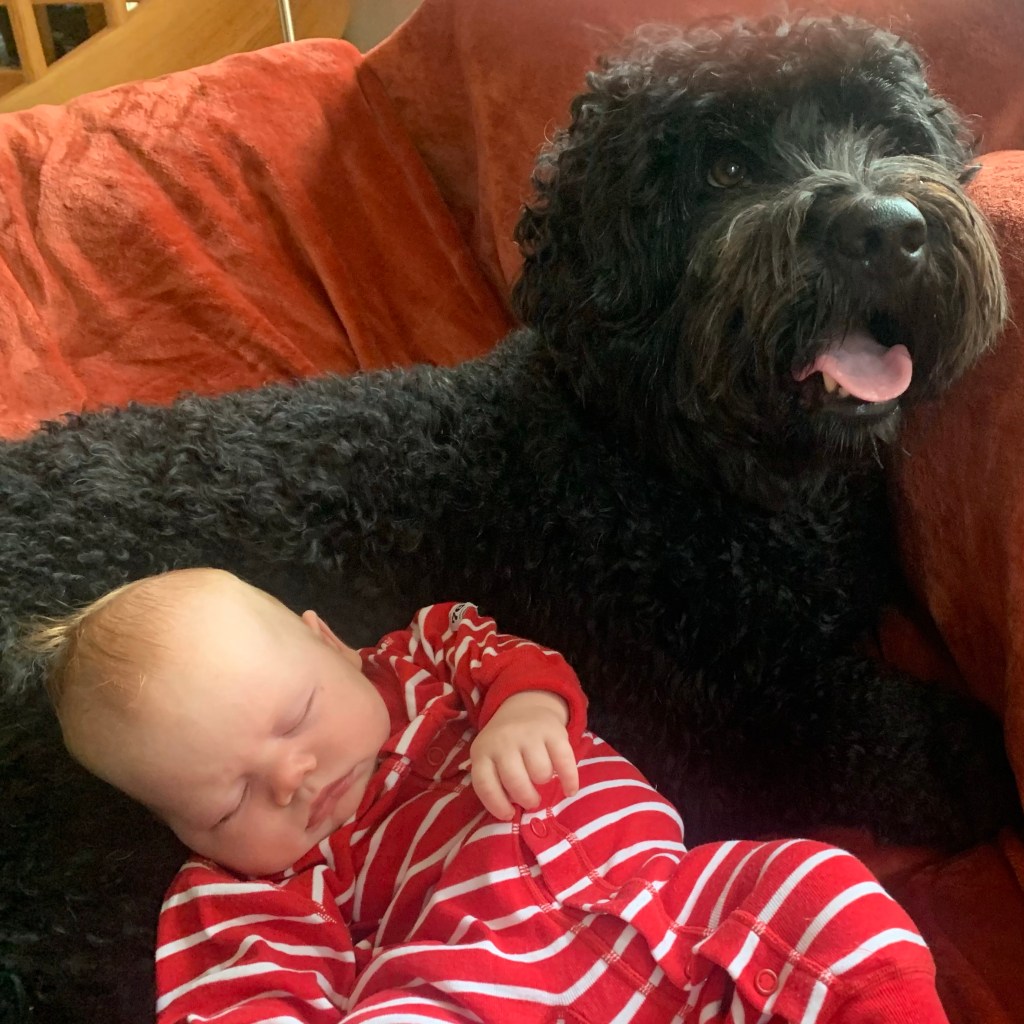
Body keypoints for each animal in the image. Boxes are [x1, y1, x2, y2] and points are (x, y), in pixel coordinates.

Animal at [0, 15, 1018, 1023]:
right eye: (724, 168)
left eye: (888, 129)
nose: (887, 230)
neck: (661, 456)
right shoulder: (704, 720)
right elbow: (844, 718)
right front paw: (967, 753)